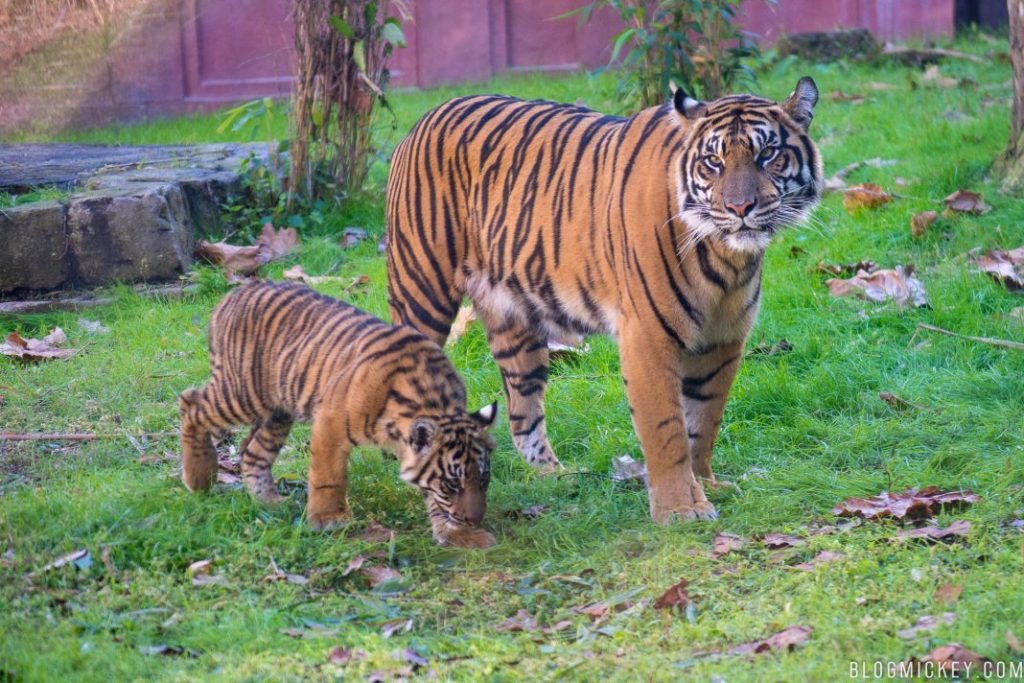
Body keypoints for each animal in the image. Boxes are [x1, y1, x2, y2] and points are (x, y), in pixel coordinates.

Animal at [385, 77, 823, 520]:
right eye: (713, 162)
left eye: (767, 154)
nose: (739, 208)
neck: (727, 257)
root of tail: (428, 115)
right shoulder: (648, 336)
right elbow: (667, 430)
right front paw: (680, 508)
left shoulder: (723, 339)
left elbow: (704, 420)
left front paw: (707, 485)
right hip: (422, 292)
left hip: (515, 323)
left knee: (523, 413)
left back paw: (555, 477)